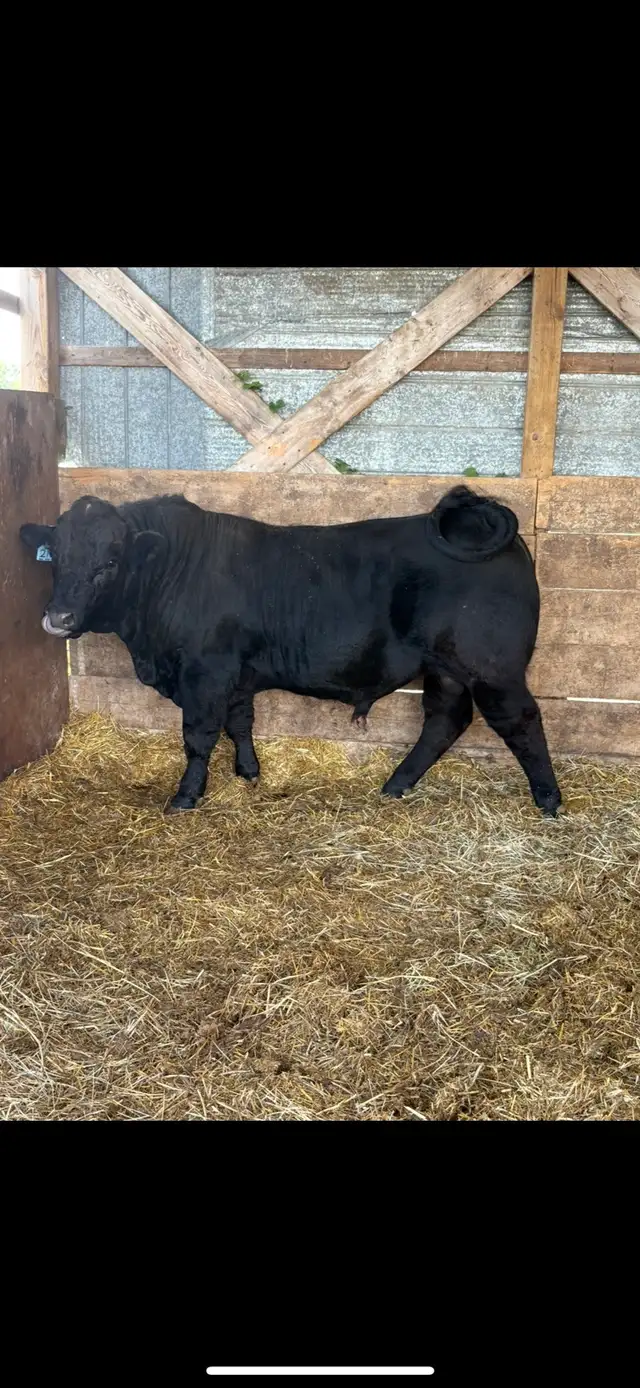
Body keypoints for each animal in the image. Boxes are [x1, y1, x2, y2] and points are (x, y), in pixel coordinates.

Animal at [20, 485, 561, 817]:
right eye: (57, 557)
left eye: (110, 563)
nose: (58, 618)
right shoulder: (236, 674)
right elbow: (240, 722)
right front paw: (249, 773)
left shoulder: (205, 673)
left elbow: (198, 736)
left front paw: (187, 795)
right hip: (445, 668)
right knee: (444, 720)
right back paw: (396, 784)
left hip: (492, 668)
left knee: (520, 720)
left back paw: (549, 800)